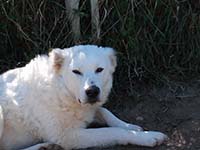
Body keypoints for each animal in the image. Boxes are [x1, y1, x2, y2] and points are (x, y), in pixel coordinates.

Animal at [0, 45, 166, 149]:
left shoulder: (90, 108)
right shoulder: (68, 136)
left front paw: (129, 125)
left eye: (99, 70)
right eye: (76, 72)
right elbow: (113, 131)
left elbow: (105, 111)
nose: (92, 91)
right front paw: (147, 137)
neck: (62, 90)